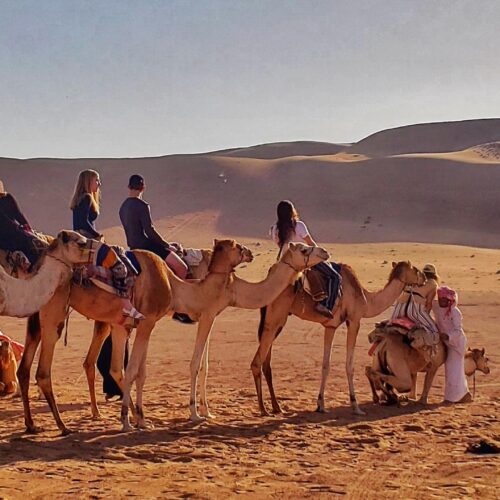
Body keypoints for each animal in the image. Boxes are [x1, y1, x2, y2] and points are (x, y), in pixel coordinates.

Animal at [18, 238, 254, 434]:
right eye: (237, 246)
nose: (250, 253)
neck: (174, 285)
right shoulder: (147, 321)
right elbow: (131, 370)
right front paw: (127, 421)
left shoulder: (129, 325)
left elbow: (130, 371)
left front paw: (141, 419)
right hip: (54, 314)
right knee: (43, 371)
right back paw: (63, 426)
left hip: (39, 316)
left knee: (26, 368)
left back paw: (32, 424)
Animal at [252, 260, 424, 416]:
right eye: (415, 269)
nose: (423, 277)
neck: (366, 299)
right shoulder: (354, 320)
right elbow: (349, 366)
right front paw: (355, 406)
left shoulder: (331, 326)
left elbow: (325, 365)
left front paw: (321, 405)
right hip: (276, 317)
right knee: (257, 362)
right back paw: (263, 409)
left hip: (276, 320)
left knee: (266, 363)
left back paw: (276, 407)